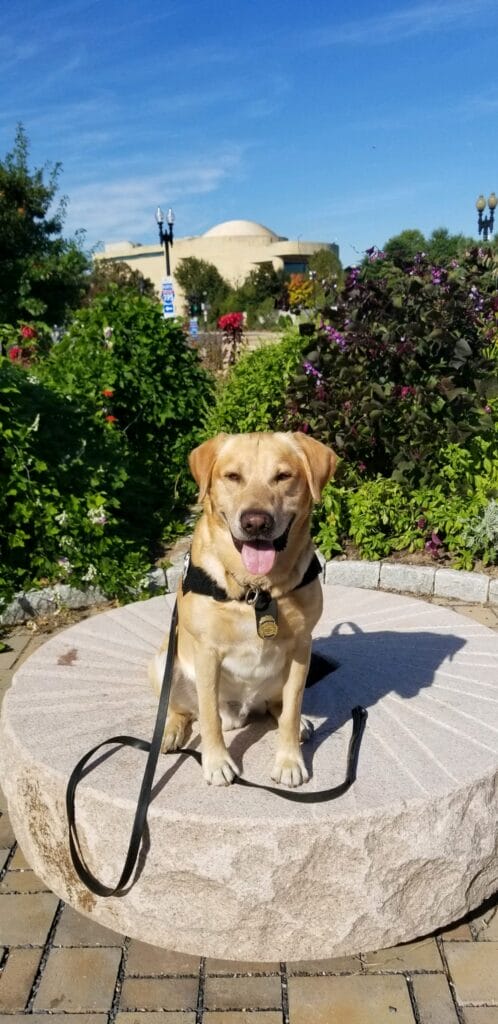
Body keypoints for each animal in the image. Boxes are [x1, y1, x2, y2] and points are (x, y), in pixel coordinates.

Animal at [150, 431, 337, 787]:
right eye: (233, 476)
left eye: (283, 476)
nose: (256, 522)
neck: (257, 591)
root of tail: (241, 712)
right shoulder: (206, 653)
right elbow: (208, 716)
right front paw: (216, 762)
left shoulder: (301, 648)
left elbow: (291, 710)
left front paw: (289, 760)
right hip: (166, 662)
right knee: (182, 709)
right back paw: (170, 731)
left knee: (279, 706)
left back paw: (301, 723)